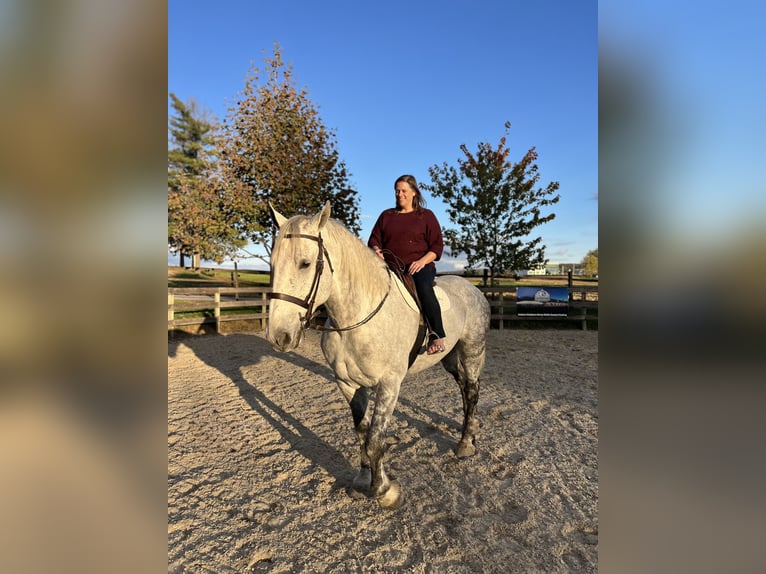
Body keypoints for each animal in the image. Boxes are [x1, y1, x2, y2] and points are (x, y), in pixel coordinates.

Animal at [266, 201, 490, 510]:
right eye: (272, 264)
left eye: (305, 263)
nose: (279, 336)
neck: (358, 316)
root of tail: (474, 290)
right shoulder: (348, 384)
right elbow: (362, 433)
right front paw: (363, 481)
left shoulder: (388, 385)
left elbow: (375, 439)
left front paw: (384, 491)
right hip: (449, 358)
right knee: (464, 390)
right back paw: (471, 429)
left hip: (471, 351)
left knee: (471, 391)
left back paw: (466, 443)